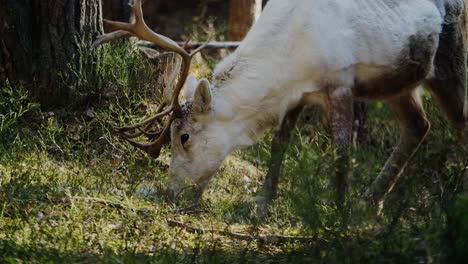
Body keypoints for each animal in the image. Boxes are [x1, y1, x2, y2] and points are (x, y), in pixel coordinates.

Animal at [94, 0, 468, 210]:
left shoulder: (341, 80)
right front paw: (261, 201)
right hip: (398, 84)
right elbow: (279, 143)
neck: (291, 63)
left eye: (184, 136)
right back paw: (369, 200)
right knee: (419, 125)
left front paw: (337, 210)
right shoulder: (297, 95)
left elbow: (342, 151)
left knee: (459, 123)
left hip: (452, 58)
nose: (171, 192)